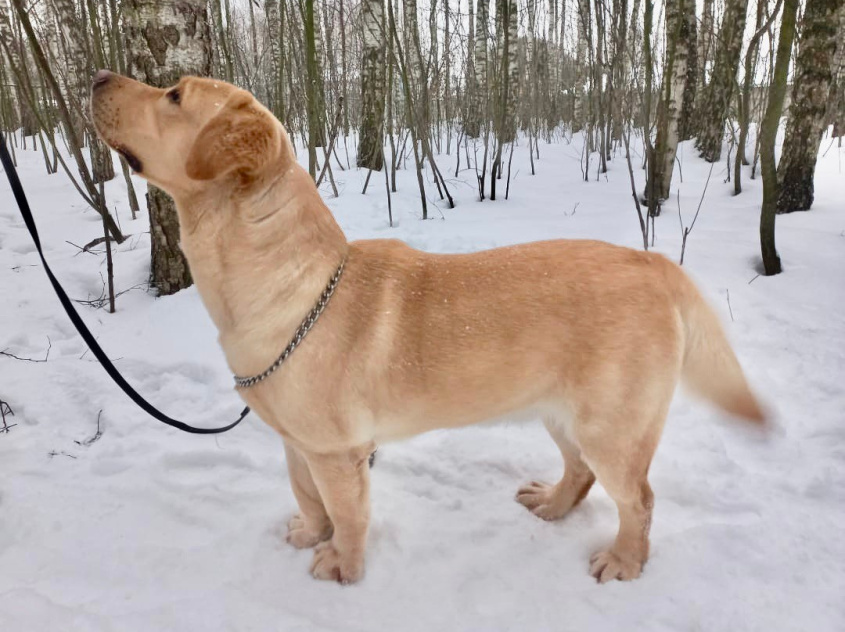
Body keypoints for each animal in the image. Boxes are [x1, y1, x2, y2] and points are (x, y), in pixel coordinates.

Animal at [90, 71, 764, 584]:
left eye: (174, 94)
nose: (97, 77)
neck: (289, 281)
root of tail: (651, 260)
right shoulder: (297, 443)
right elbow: (306, 495)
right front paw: (310, 533)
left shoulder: (337, 452)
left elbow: (349, 515)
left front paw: (341, 565)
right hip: (561, 411)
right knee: (582, 474)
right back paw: (550, 505)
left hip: (611, 426)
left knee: (639, 501)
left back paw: (624, 562)